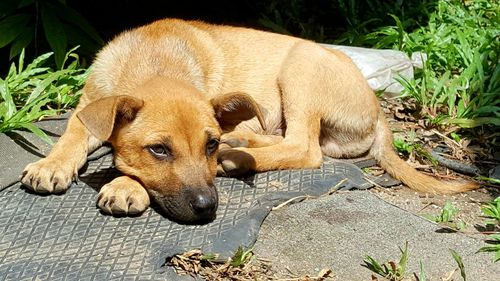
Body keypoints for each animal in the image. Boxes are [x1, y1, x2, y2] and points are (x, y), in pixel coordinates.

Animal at [19, 18, 478, 222]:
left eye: (206, 144)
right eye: (158, 150)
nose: (207, 209)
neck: (155, 60)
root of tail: (379, 110)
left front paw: (125, 185)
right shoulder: (90, 104)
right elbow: (73, 133)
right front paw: (51, 164)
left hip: (301, 66)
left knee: (306, 149)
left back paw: (236, 156)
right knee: (295, 141)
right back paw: (242, 145)